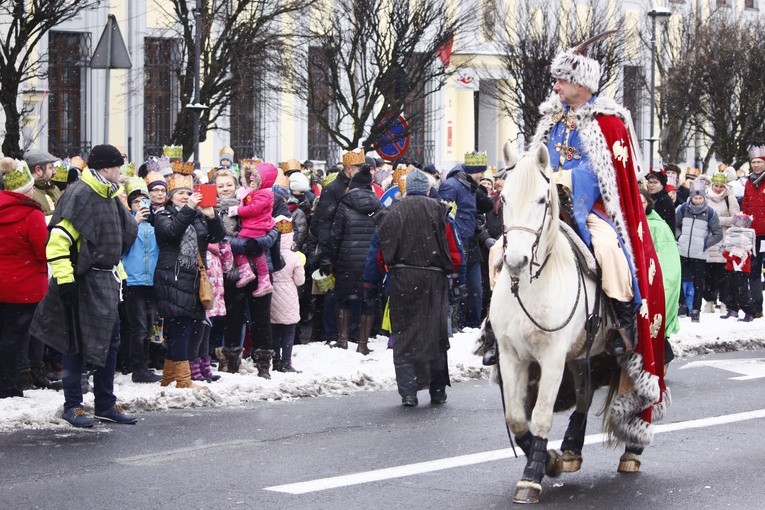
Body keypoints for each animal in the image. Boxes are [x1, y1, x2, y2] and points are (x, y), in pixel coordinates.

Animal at [490, 143, 620, 502]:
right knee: (585, 394)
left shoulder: (551, 357)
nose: (515, 261)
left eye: (541, 199)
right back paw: (572, 448)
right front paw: (548, 460)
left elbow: (542, 415)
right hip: (580, 354)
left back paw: (632, 454)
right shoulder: (511, 356)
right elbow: (517, 417)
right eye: (503, 197)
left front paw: (531, 477)